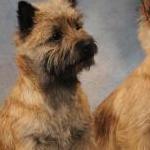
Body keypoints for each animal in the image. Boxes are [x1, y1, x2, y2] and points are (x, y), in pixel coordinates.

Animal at [0, 0, 98, 149]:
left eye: (77, 26)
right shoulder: (31, 141)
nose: (87, 45)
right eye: (55, 36)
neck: (59, 91)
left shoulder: (83, 136)